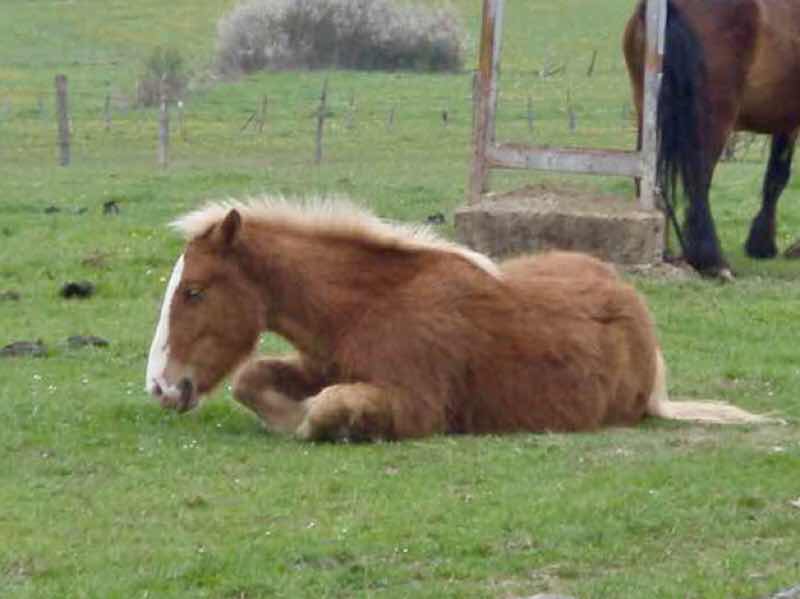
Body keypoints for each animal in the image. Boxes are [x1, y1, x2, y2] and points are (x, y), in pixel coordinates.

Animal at [145, 196, 771, 441]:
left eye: (194, 292)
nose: (159, 387)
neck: (369, 306)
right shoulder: (319, 362)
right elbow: (252, 380)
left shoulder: (416, 406)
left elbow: (323, 409)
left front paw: (312, 422)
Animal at [624, 0, 800, 278]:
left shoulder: (786, 121)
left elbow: (775, 178)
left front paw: (762, 244)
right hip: (713, 118)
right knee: (698, 181)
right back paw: (712, 261)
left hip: (650, 112)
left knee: (651, 178)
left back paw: (666, 251)